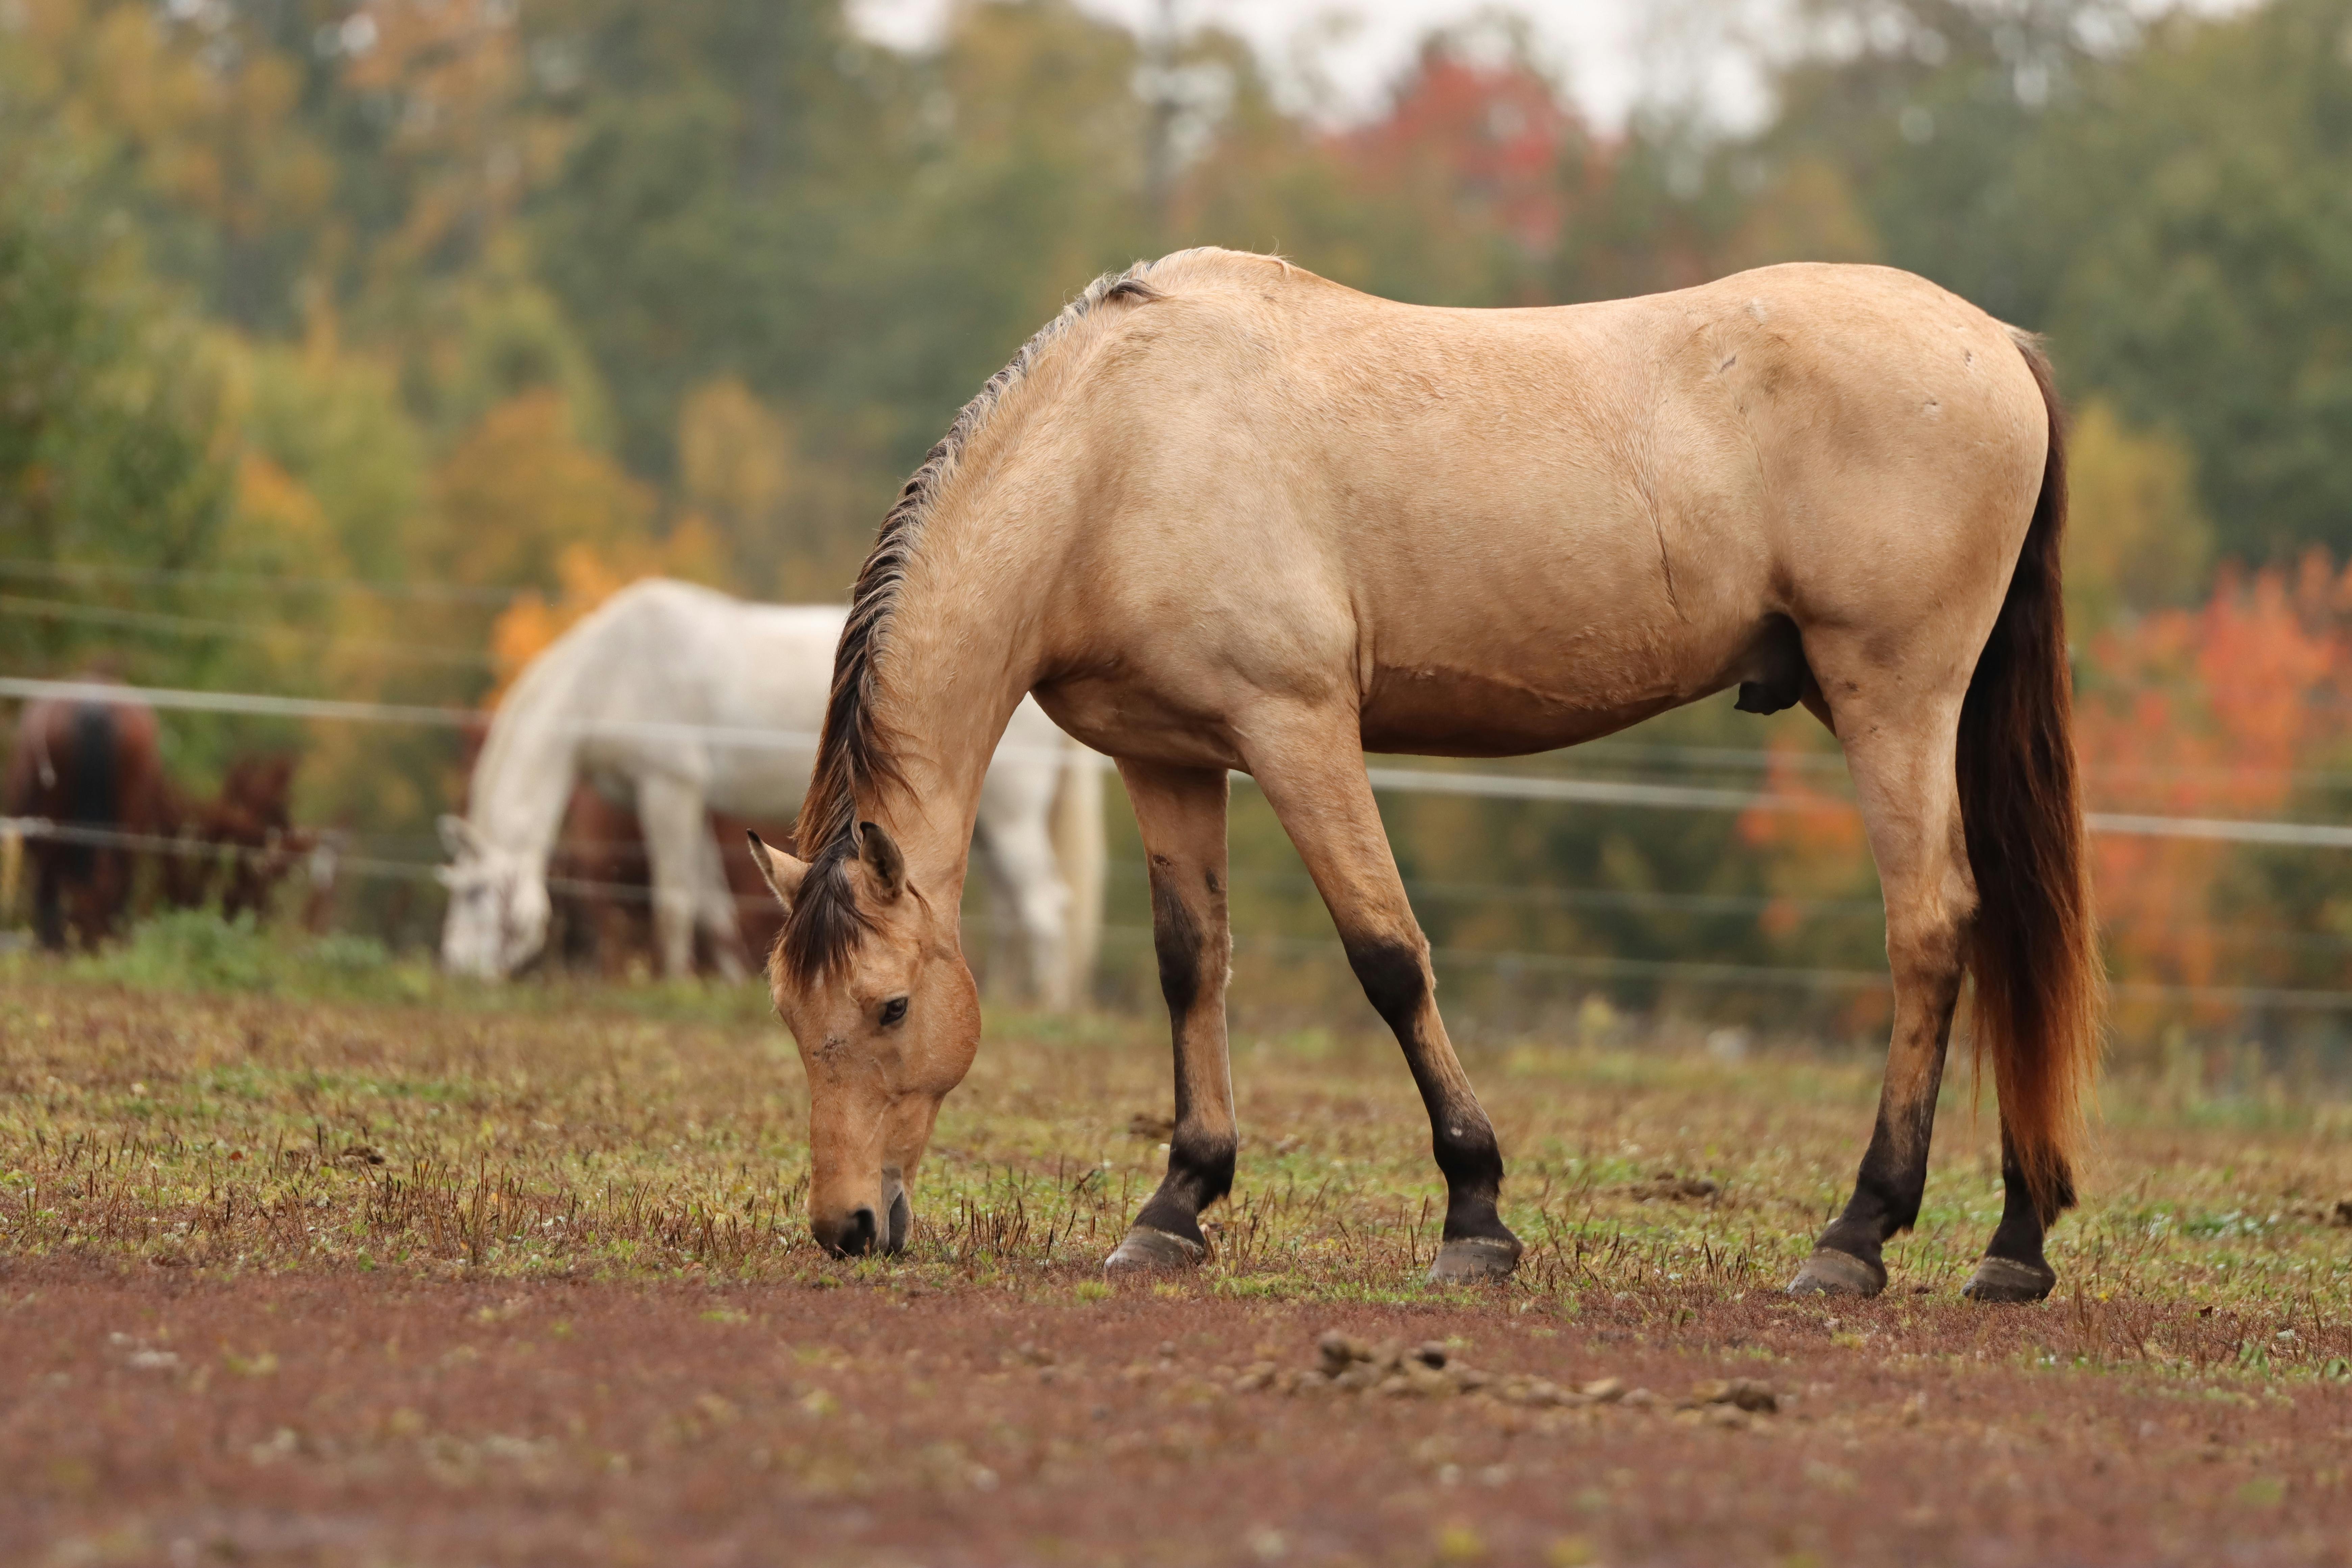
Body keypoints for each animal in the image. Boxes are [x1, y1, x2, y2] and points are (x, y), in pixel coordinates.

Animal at [442, 581, 1101, 1006]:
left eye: (476, 893)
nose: (458, 968)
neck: (611, 669)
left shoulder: (669, 791)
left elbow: (676, 898)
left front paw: (672, 982)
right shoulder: (692, 805)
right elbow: (711, 906)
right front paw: (729, 982)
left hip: (1011, 821)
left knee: (1044, 908)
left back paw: (1047, 1008)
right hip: (984, 826)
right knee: (1014, 911)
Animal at [738, 248, 2098, 1297]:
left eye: (890, 1006)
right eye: (789, 1014)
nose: (846, 1224)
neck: (1117, 450)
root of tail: (1994, 342)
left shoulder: (1297, 731)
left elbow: (1387, 956)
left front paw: (1473, 1213)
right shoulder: (1166, 755)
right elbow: (1192, 964)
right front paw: (1176, 1203)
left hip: (1893, 702)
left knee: (1931, 929)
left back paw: (1857, 1233)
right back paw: (2013, 1241)